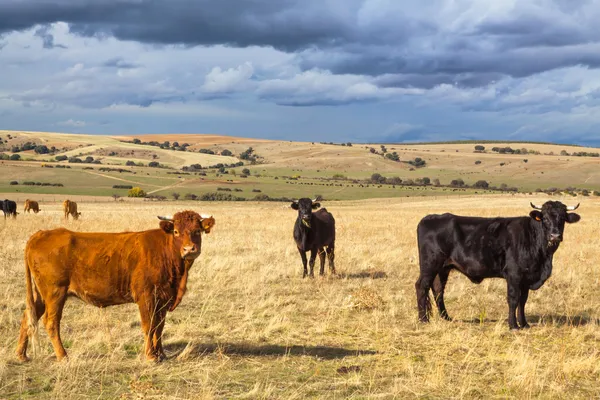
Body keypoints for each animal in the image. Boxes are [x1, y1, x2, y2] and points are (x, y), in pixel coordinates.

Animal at [14, 211, 218, 360]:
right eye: (176, 231)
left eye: (197, 231)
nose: (189, 249)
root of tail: (41, 234)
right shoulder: (146, 297)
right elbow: (149, 326)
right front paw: (151, 356)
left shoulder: (163, 299)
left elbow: (159, 327)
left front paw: (161, 354)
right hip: (55, 293)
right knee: (51, 322)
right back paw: (63, 356)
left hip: (42, 294)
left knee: (28, 316)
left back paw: (21, 355)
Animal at [414, 202, 580, 330]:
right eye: (544, 218)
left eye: (562, 218)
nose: (555, 236)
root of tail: (430, 217)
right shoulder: (514, 275)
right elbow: (513, 299)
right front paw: (513, 325)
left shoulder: (526, 278)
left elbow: (523, 300)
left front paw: (524, 324)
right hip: (430, 265)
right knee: (422, 286)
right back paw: (423, 319)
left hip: (443, 268)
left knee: (438, 290)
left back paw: (446, 317)